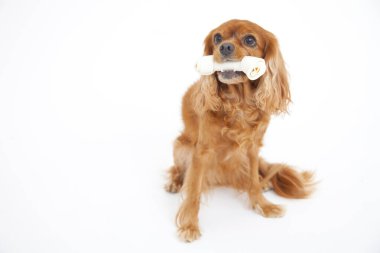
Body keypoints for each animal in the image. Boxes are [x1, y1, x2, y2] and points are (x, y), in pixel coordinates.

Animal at [165, 19, 314, 241]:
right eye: (217, 38)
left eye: (250, 39)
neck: (238, 104)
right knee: (177, 169)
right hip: (181, 146)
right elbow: (193, 191)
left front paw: (262, 204)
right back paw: (174, 182)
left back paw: (264, 182)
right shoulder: (201, 151)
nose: (224, 47)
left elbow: (252, 180)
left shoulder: (253, 149)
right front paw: (190, 225)